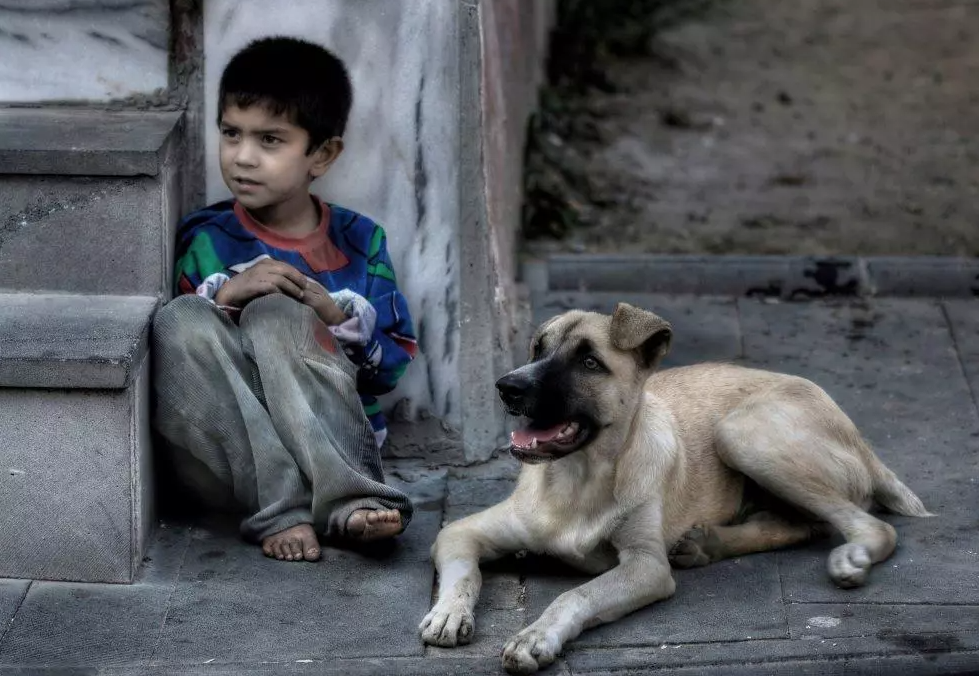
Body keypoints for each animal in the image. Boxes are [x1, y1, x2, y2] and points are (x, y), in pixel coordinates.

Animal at [420, 304, 928, 672]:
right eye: (536, 350)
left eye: (589, 362)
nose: (507, 387)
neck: (577, 480)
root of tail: (857, 436)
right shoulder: (460, 532)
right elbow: (464, 574)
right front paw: (449, 613)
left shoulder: (646, 566)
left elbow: (578, 594)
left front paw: (535, 635)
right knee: (799, 524)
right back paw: (705, 544)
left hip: (742, 432)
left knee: (866, 526)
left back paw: (851, 555)